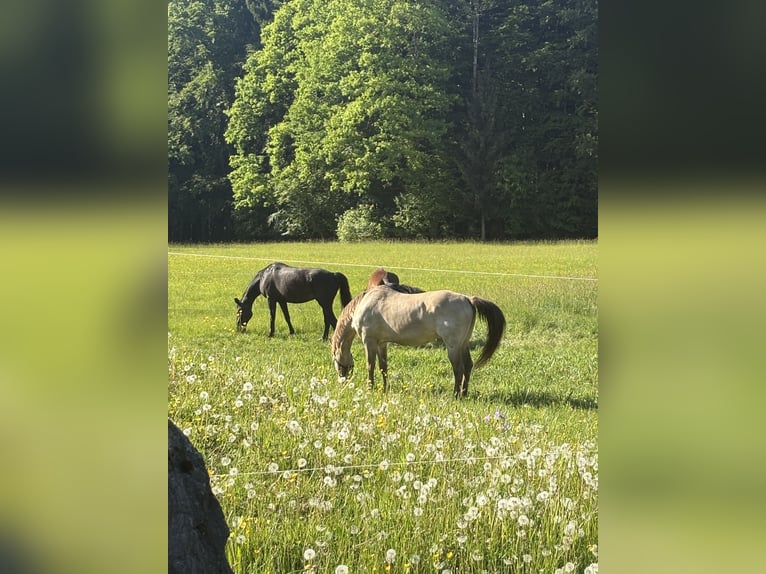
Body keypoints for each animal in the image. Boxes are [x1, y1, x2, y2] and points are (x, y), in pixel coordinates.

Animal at [331, 285, 506, 398]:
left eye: (336, 362)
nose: (342, 382)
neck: (364, 304)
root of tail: (468, 299)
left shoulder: (369, 341)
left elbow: (370, 366)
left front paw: (370, 388)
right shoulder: (381, 343)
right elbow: (383, 367)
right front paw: (385, 388)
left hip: (453, 346)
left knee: (458, 368)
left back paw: (455, 395)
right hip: (463, 344)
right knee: (468, 366)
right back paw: (464, 393)